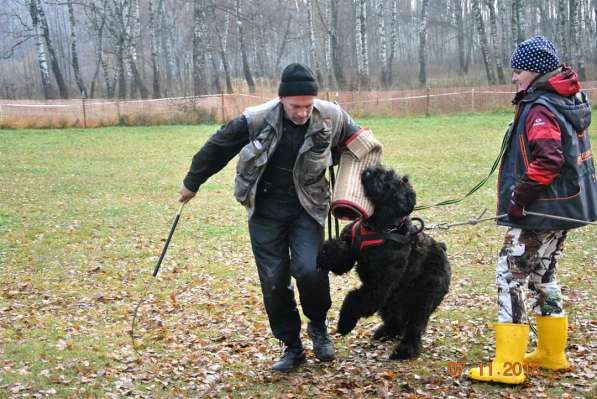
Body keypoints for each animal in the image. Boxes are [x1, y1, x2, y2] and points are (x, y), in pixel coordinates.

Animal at [318, 164, 450, 360]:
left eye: (390, 182)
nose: (371, 169)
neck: (378, 227)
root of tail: (442, 248)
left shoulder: (379, 284)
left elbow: (356, 299)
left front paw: (345, 323)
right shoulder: (350, 248)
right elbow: (340, 255)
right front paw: (322, 255)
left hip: (422, 300)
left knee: (415, 326)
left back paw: (406, 349)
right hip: (393, 300)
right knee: (396, 320)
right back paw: (386, 332)